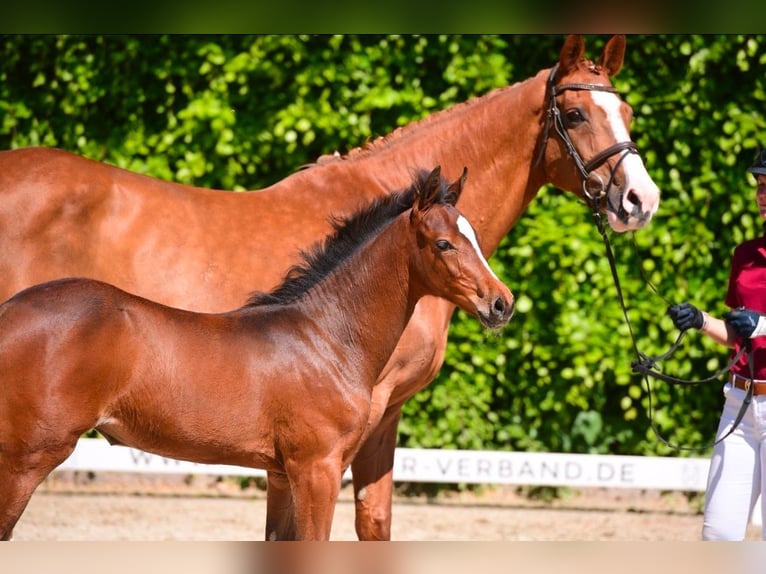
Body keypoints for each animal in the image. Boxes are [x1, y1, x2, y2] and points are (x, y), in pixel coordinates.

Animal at [0, 167, 514, 541]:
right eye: (444, 243)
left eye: (474, 237)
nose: (501, 303)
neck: (325, 338)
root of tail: (10, 311)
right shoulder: (317, 470)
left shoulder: (283, 475)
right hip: (28, 456)